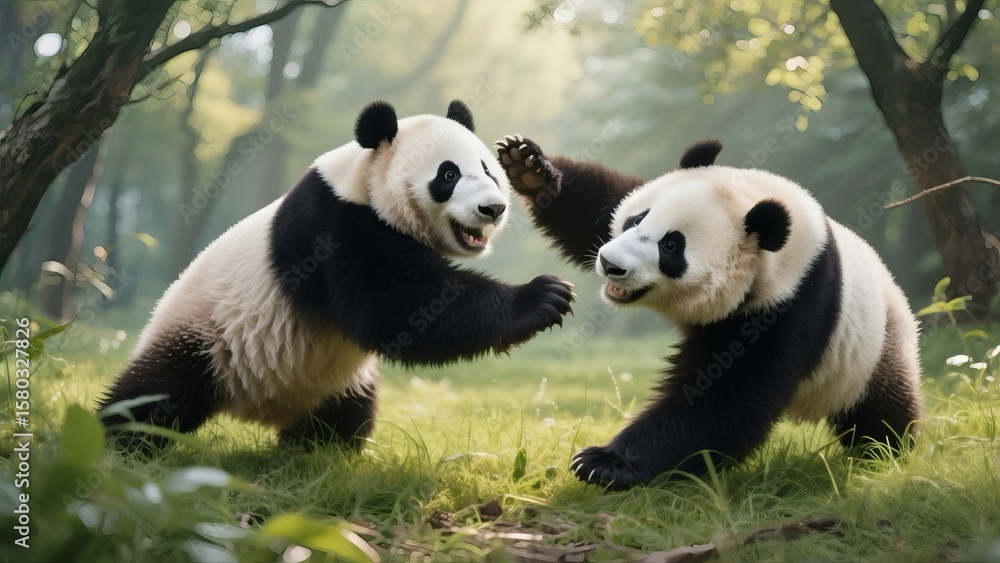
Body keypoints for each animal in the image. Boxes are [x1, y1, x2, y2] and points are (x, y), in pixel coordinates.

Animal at [97, 100, 575, 453]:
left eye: (488, 168)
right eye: (448, 174)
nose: (492, 209)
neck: (364, 183)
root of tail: (253, 405)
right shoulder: (333, 228)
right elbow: (400, 306)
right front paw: (543, 297)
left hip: (337, 381)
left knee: (344, 413)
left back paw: (317, 449)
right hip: (205, 334)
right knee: (157, 394)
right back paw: (121, 440)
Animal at [496, 136, 922, 489]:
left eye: (671, 247)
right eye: (637, 219)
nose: (610, 264)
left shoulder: (792, 303)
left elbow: (725, 400)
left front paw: (604, 463)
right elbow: (596, 208)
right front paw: (529, 167)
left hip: (871, 349)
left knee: (882, 407)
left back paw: (887, 449)